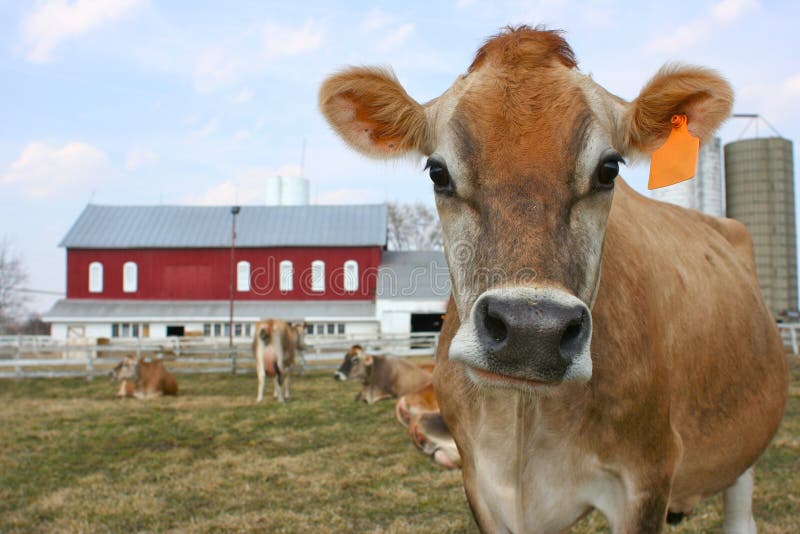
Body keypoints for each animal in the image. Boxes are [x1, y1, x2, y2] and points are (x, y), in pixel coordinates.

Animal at [318, 27, 788, 534]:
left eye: (609, 169)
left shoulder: (647, 477)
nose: (532, 331)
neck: (523, 424)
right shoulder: (481, 482)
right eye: (438, 171)